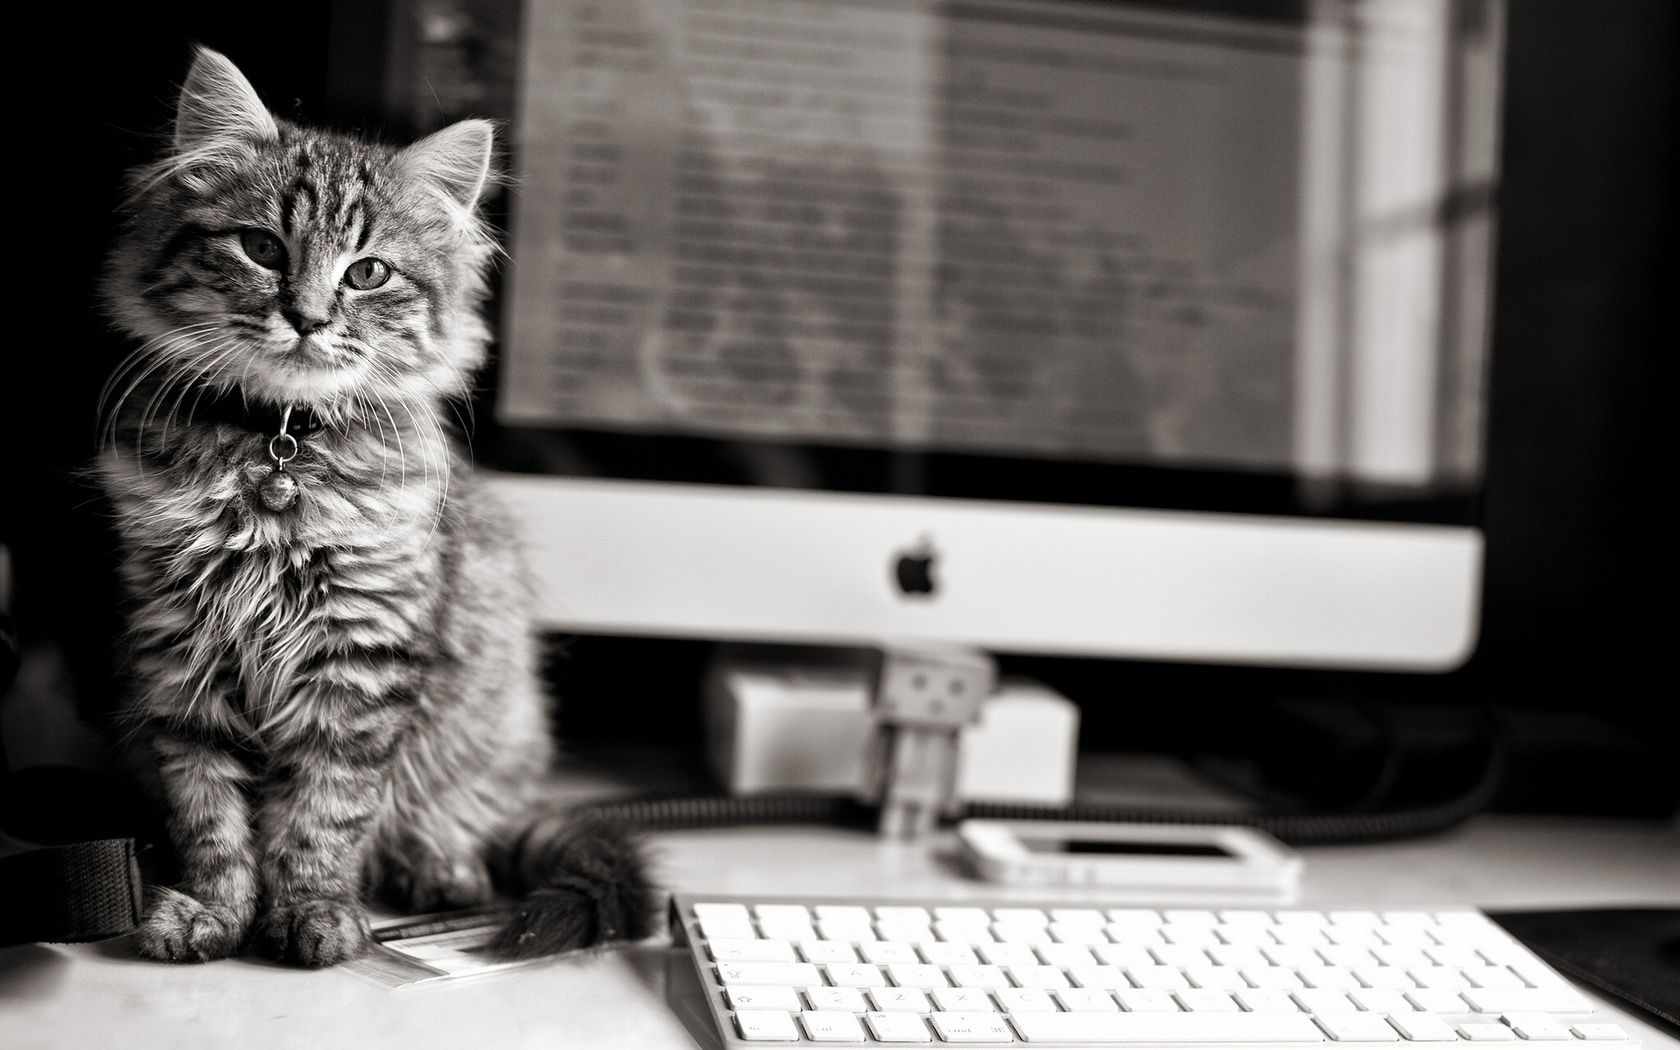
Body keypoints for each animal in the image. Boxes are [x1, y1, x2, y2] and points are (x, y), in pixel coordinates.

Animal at [95, 49, 651, 967]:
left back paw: (438, 868)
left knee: (455, 814)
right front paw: (214, 912)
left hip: (495, 728)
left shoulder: (360, 655)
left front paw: (313, 912)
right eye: (260, 248)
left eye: (368, 274)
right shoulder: (179, 653)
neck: (280, 452)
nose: (307, 317)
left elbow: (322, 814)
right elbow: (209, 813)